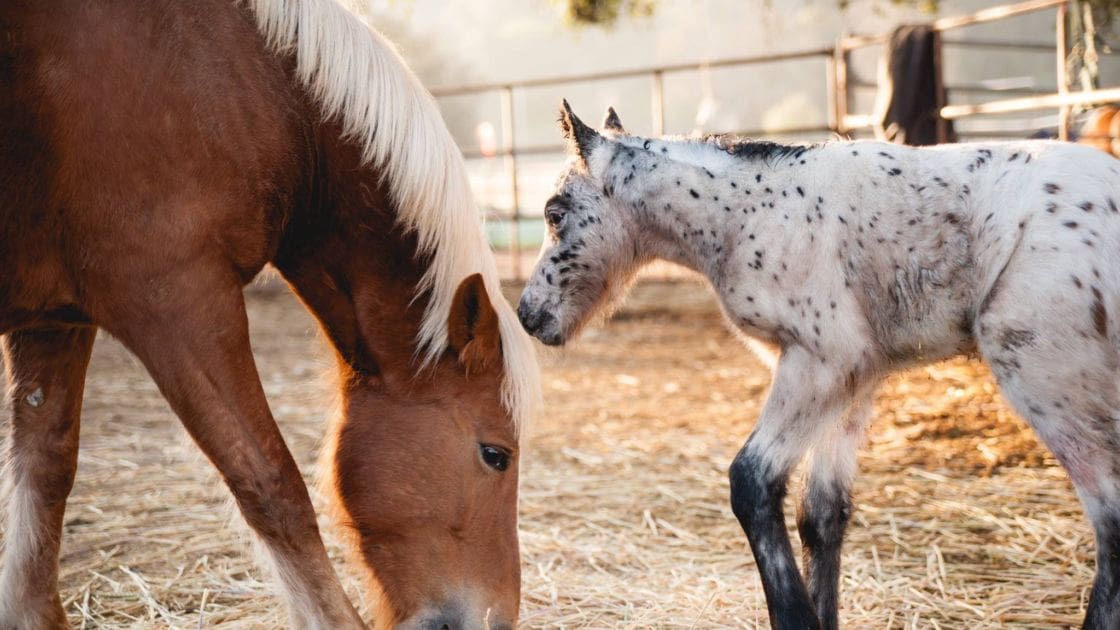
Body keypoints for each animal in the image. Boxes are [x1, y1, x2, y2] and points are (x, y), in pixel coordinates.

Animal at [0, 1, 540, 628]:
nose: (495, 618)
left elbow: (44, 468)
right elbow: (269, 480)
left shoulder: (55, 320)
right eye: (496, 455)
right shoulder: (179, 299)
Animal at [518, 101, 1120, 629]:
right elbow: (822, 514)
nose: (528, 314)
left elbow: (752, 482)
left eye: (554, 213)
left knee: (1110, 516)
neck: (746, 214)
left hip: (1042, 370)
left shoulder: (821, 362)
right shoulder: (857, 378)